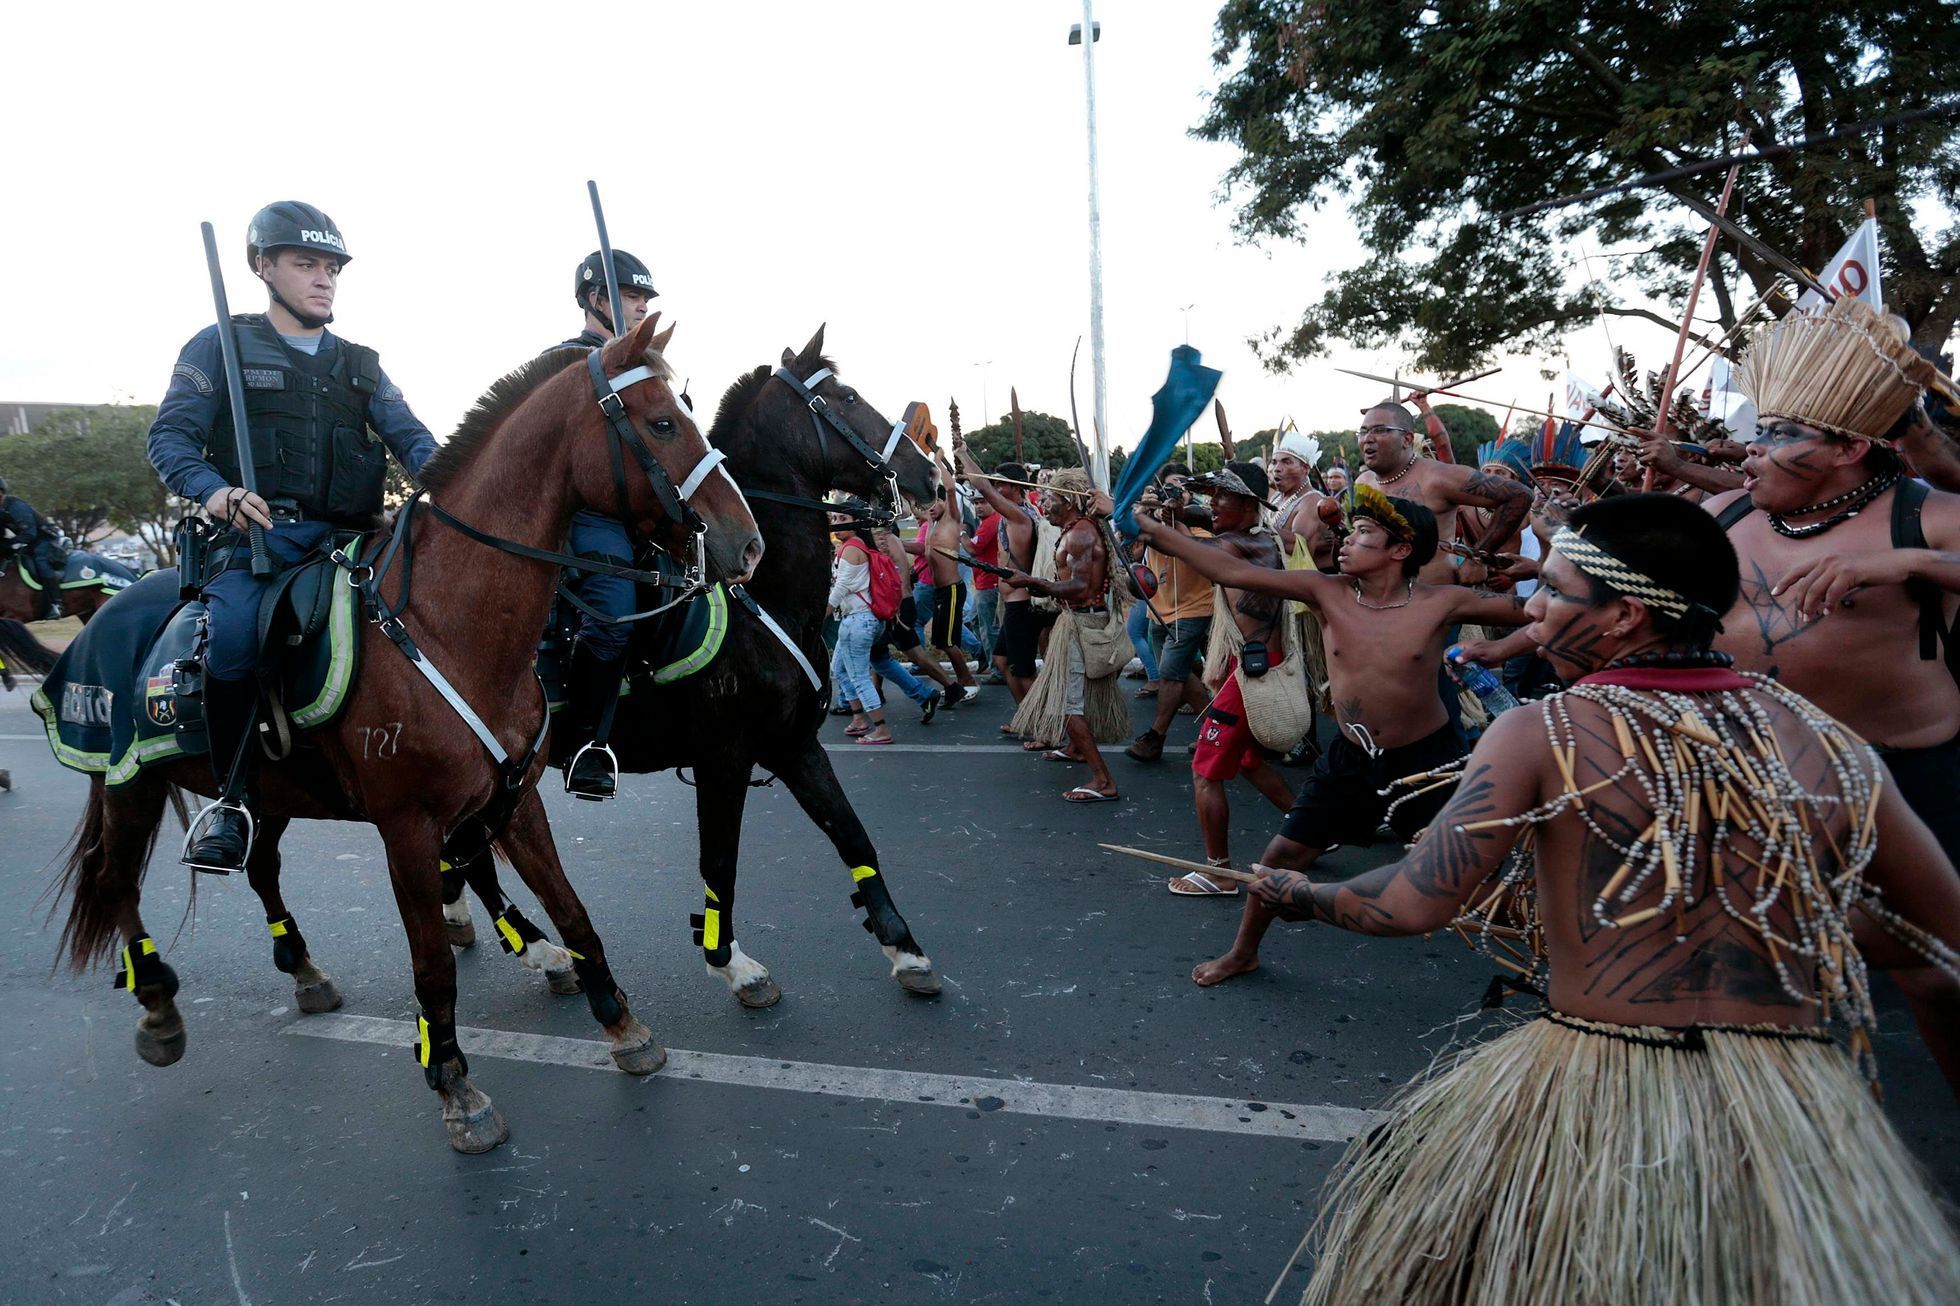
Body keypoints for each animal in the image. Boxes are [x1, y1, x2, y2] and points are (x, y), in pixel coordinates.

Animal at [46, 315, 764, 1153]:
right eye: (662, 423)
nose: (747, 544)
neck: (448, 625)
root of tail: (102, 610)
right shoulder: (408, 829)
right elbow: (432, 967)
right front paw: (455, 1085)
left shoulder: (517, 801)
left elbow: (573, 909)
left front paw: (622, 1025)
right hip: (127, 783)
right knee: (117, 883)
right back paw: (158, 1004)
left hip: (267, 791)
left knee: (260, 869)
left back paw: (304, 971)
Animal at [145, 203, 437, 870]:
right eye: (307, 264)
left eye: (330, 268)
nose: (324, 285)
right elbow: (171, 431)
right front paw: (236, 502)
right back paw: (226, 823)